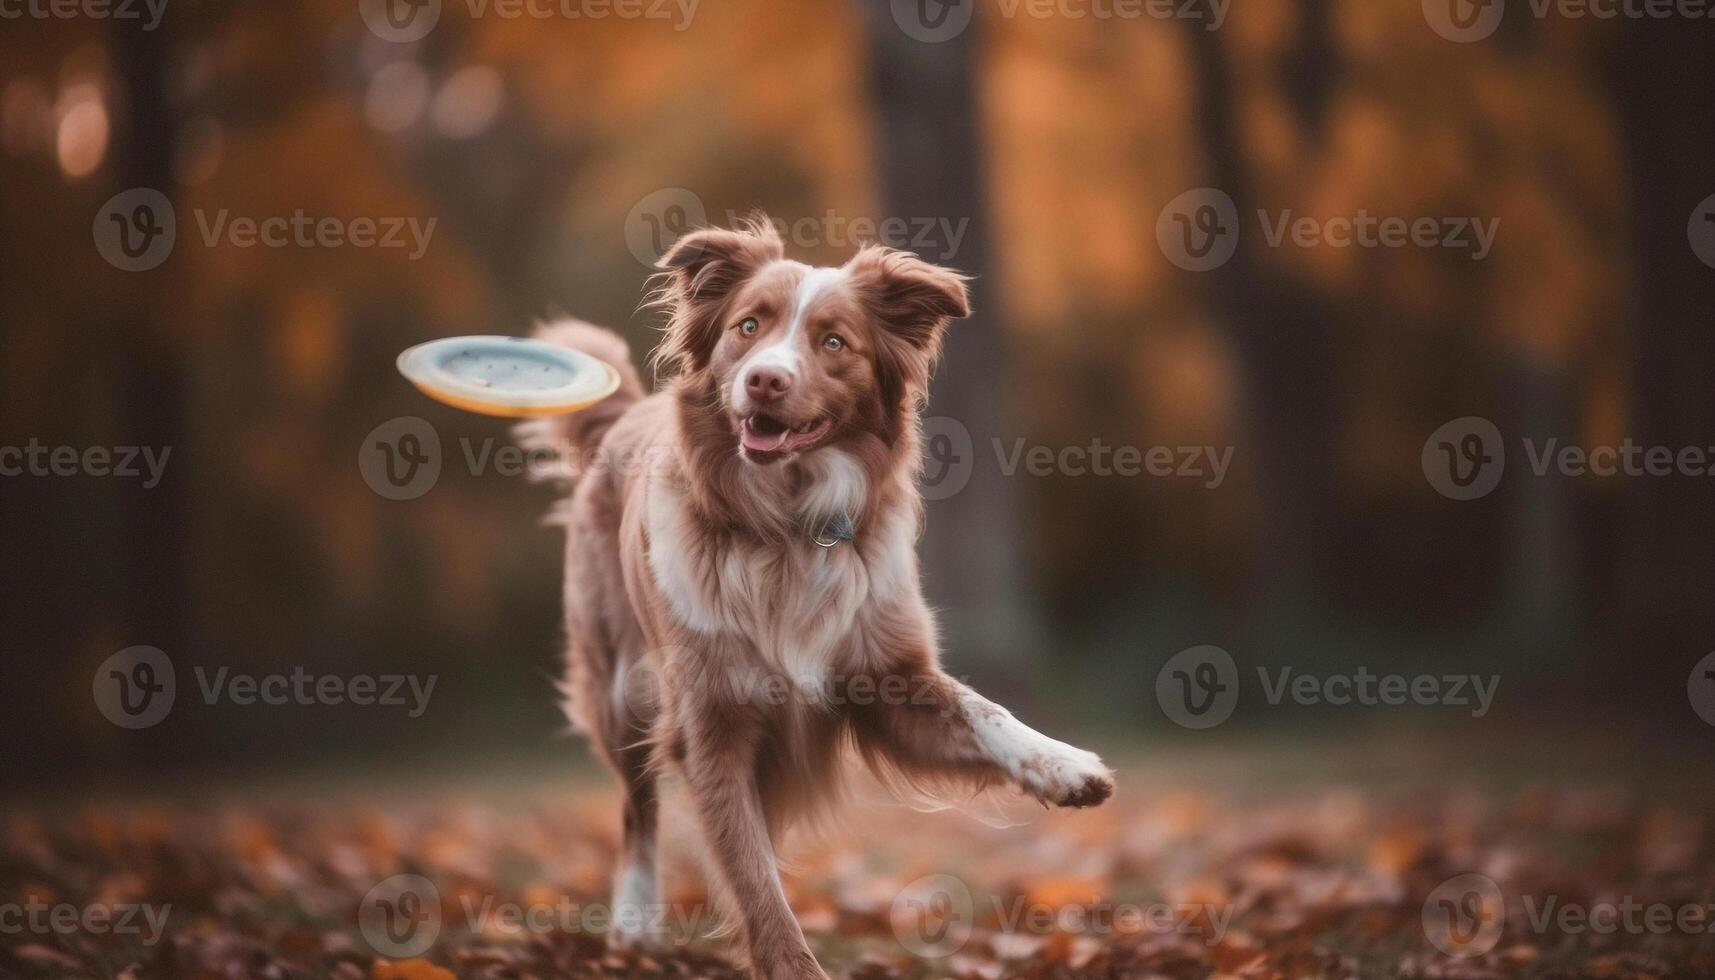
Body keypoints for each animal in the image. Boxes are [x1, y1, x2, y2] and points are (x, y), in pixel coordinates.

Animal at [521, 223, 1111, 980]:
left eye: (834, 342)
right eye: (748, 327)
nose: (764, 379)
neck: (787, 529)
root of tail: (626, 414)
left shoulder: (891, 682)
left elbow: (986, 710)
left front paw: (1066, 766)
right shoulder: (711, 722)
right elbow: (751, 879)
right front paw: (788, 961)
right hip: (620, 688)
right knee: (637, 809)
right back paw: (633, 922)